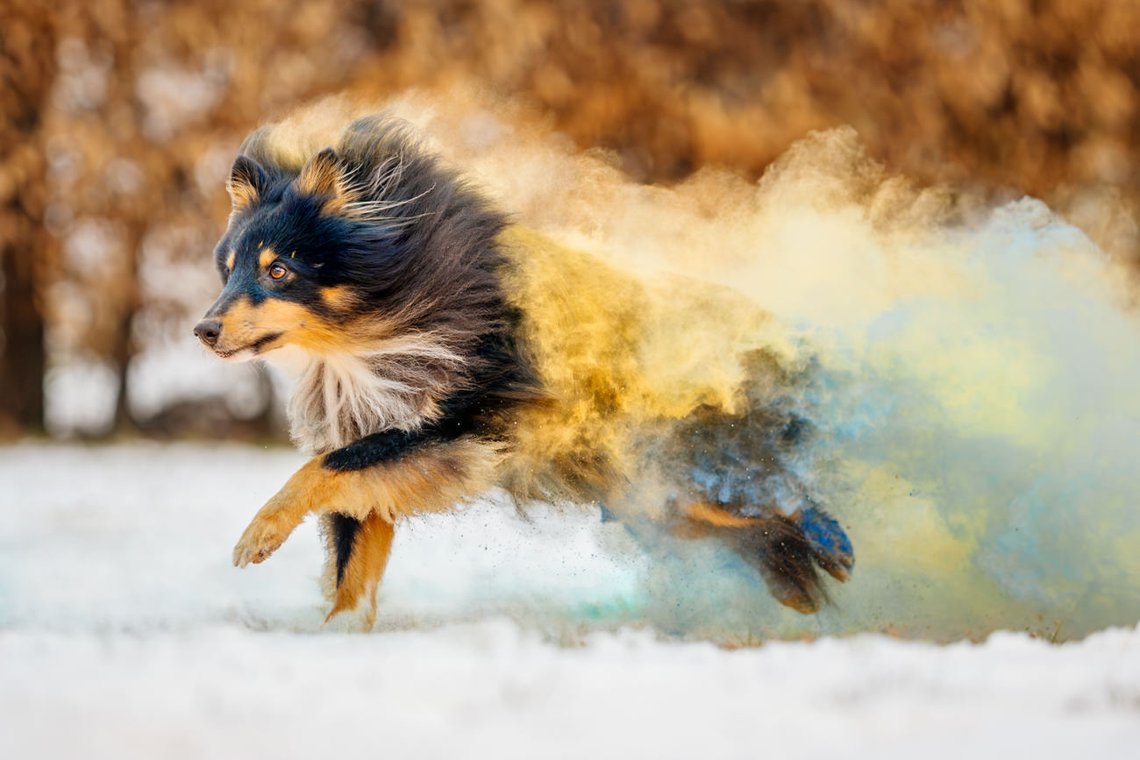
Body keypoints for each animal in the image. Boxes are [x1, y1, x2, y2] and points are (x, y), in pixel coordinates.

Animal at [196, 109, 857, 628]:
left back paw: (834, 542)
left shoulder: (455, 428)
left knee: (779, 489)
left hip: (679, 469)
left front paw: (257, 536)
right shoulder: (378, 444)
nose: (203, 331)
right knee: (761, 525)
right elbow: (349, 564)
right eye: (227, 269)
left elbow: (321, 468)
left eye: (279, 269)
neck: (373, 333)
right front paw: (339, 637)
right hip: (652, 498)